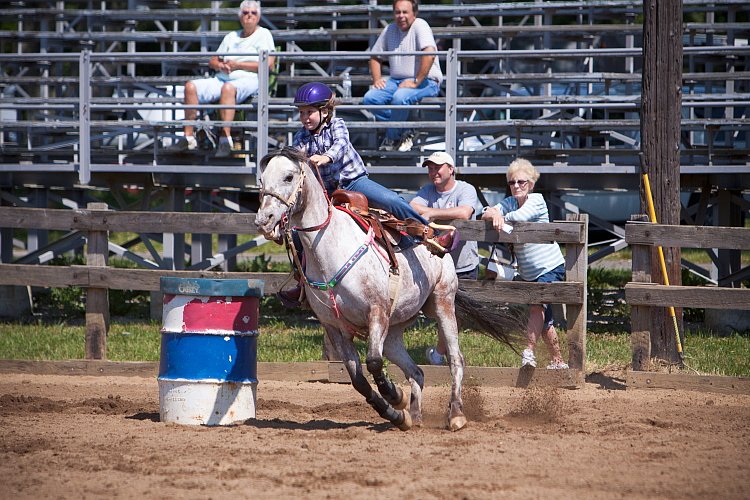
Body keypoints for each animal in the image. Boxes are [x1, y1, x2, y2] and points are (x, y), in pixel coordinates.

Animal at [256, 147, 520, 430]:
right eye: (262, 180)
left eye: (289, 176)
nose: (264, 220)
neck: (330, 247)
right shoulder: (335, 327)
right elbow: (358, 378)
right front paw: (396, 412)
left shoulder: (377, 312)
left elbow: (373, 362)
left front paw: (395, 396)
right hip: (394, 331)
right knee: (416, 371)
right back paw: (414, 417)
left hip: (442, 303)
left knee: (456, 359)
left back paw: (456, 415)